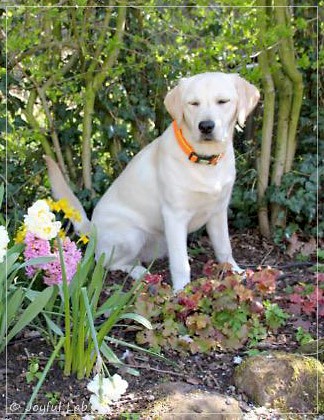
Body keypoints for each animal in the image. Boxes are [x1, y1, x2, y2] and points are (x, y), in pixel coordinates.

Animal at [45, 71, 260, 292]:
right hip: (131, 235)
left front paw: (236, 272)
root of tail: (93, 229)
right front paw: (181, 290)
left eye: (222, 101)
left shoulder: (218, 211)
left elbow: (224, 247)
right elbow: (180, 262)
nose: (206, 126)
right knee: (109, 263)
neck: (203, 160)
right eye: (193, 103)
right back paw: (140, 273)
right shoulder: (175, 215)